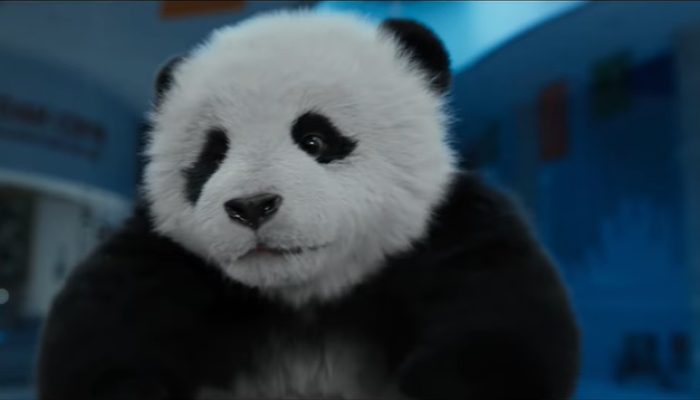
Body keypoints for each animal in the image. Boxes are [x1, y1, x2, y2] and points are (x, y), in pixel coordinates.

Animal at [37, 10, 580, 400]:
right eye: (213, 154)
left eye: (315, 139)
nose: (252, 205)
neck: (303, 297)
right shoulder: (165, 260)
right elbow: (102, 336)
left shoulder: (451, 233)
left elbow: (500, 334)